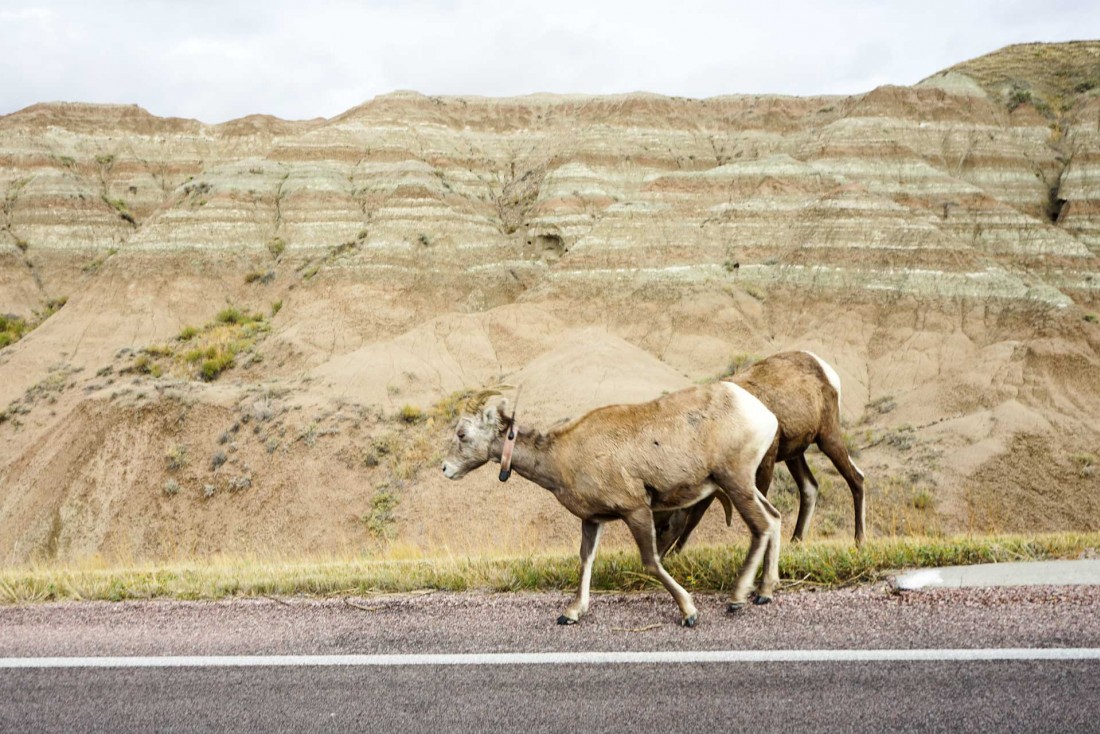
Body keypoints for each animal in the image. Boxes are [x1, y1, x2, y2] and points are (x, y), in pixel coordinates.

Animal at [440, 382, 783, 629]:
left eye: (462, 433)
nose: (445, 469)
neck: (562, 455)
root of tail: (763, 414)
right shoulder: (593, 520)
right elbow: (586, 560)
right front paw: (571, 614)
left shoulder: (636, 510)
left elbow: (651, 561)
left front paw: (689, 612)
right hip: (744, 484)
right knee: (775, 517)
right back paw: (764, 594)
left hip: (735, 481)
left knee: (761, 525)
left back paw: (737, 599)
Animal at [651, 352, 866, 556]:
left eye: (665, 526)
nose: (657, 557)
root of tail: (825, 369)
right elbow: (696, 516)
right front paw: (675, 554)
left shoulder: (764, 464)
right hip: (794, 455)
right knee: (809, 488)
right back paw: (795, 542)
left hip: (828, 438)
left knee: (856, 478)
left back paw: (859, 541)